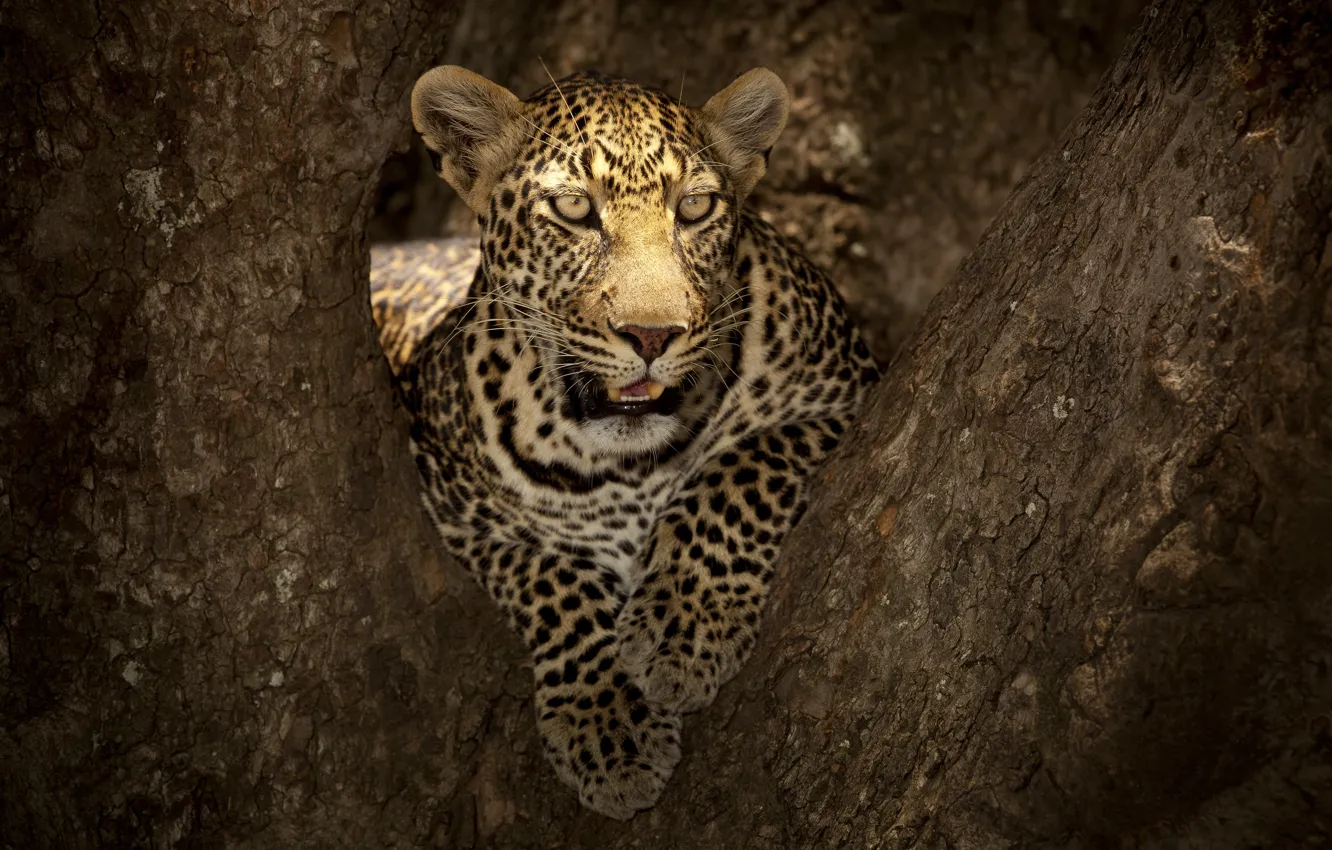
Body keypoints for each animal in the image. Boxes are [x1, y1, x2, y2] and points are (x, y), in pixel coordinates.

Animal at [370, 63, 879, 820]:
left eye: (694, 208)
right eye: (575, 210)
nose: (651, 335)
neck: (627, 462)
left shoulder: (846, 394)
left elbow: (738, 471)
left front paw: (684, 631)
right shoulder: (453, 508)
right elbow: (553, 578)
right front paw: (609, 727)